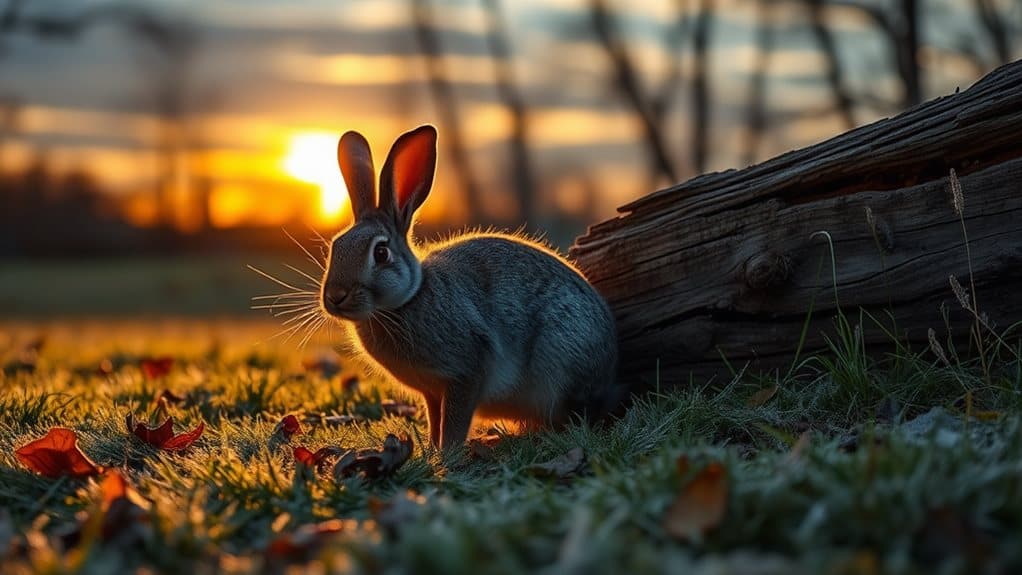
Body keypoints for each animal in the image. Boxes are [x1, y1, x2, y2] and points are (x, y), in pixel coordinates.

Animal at [321, 125, 622, 450]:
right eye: (335, 246)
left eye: (380, 253)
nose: (334, 297)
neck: (409, 299)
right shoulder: (432, 391)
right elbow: (435, 419)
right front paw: (432, 449)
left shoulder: (466, 372)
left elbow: (455, 421)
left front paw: (447, 454)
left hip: (561, 361)